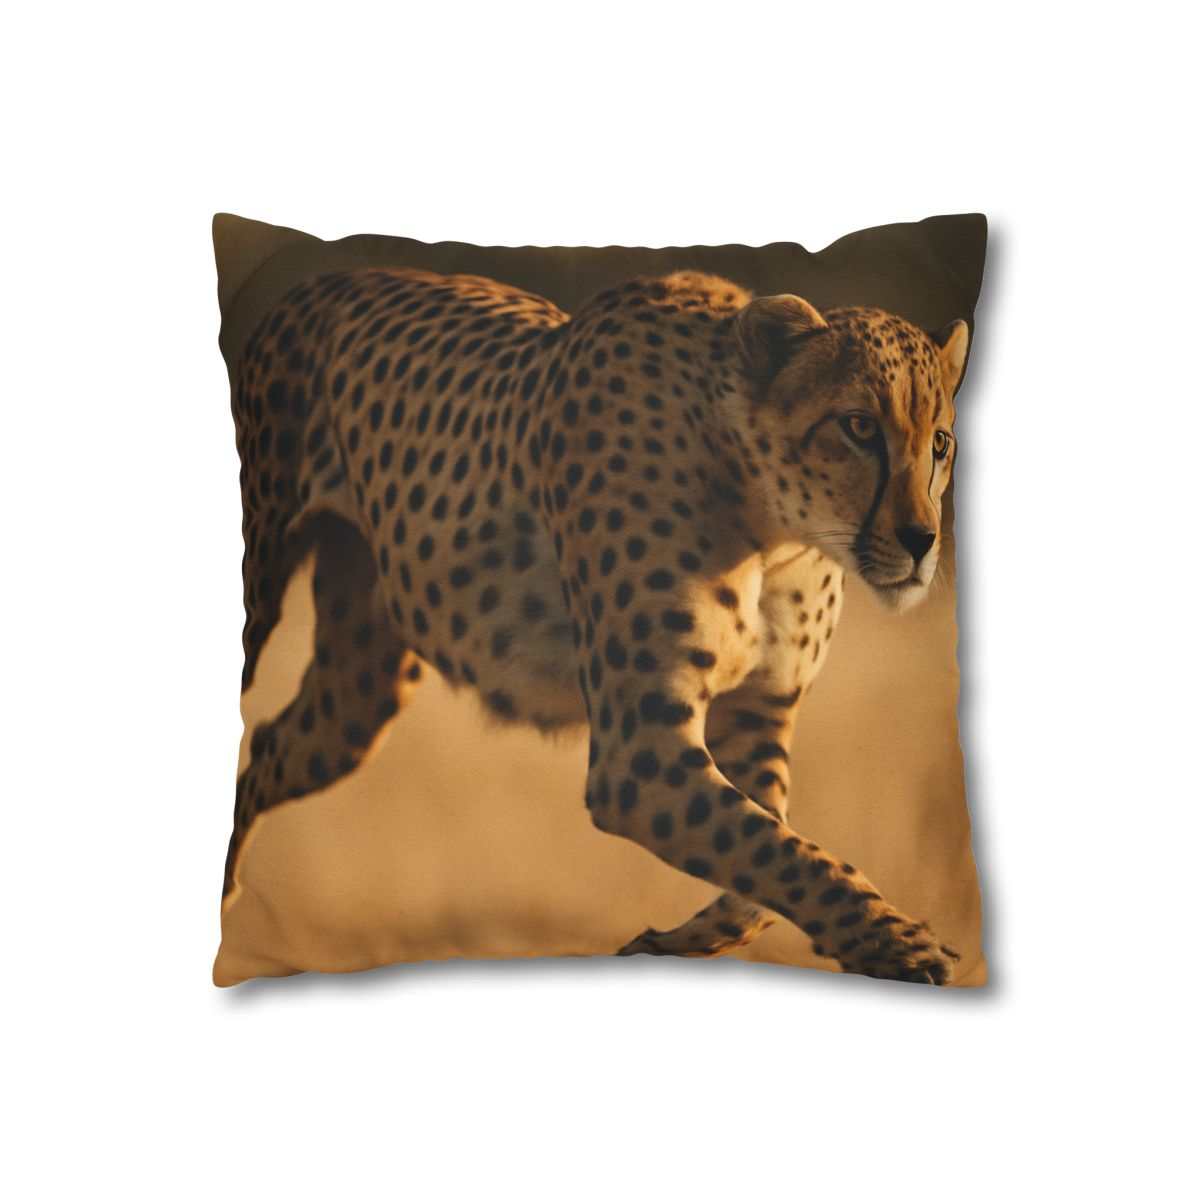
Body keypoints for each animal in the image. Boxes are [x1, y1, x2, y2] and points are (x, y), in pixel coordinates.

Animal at [227, 264, 970, 984]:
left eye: (939, 443)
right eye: (860, 427)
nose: (922, 541)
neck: (773, 526)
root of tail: (319, 280)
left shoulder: (758, 716)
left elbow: (767, 855)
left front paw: (667, 945)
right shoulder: (637, 755)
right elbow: (774, 848)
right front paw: (898, 943)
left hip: (358, 694)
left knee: (268, 745)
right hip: (261, 591)